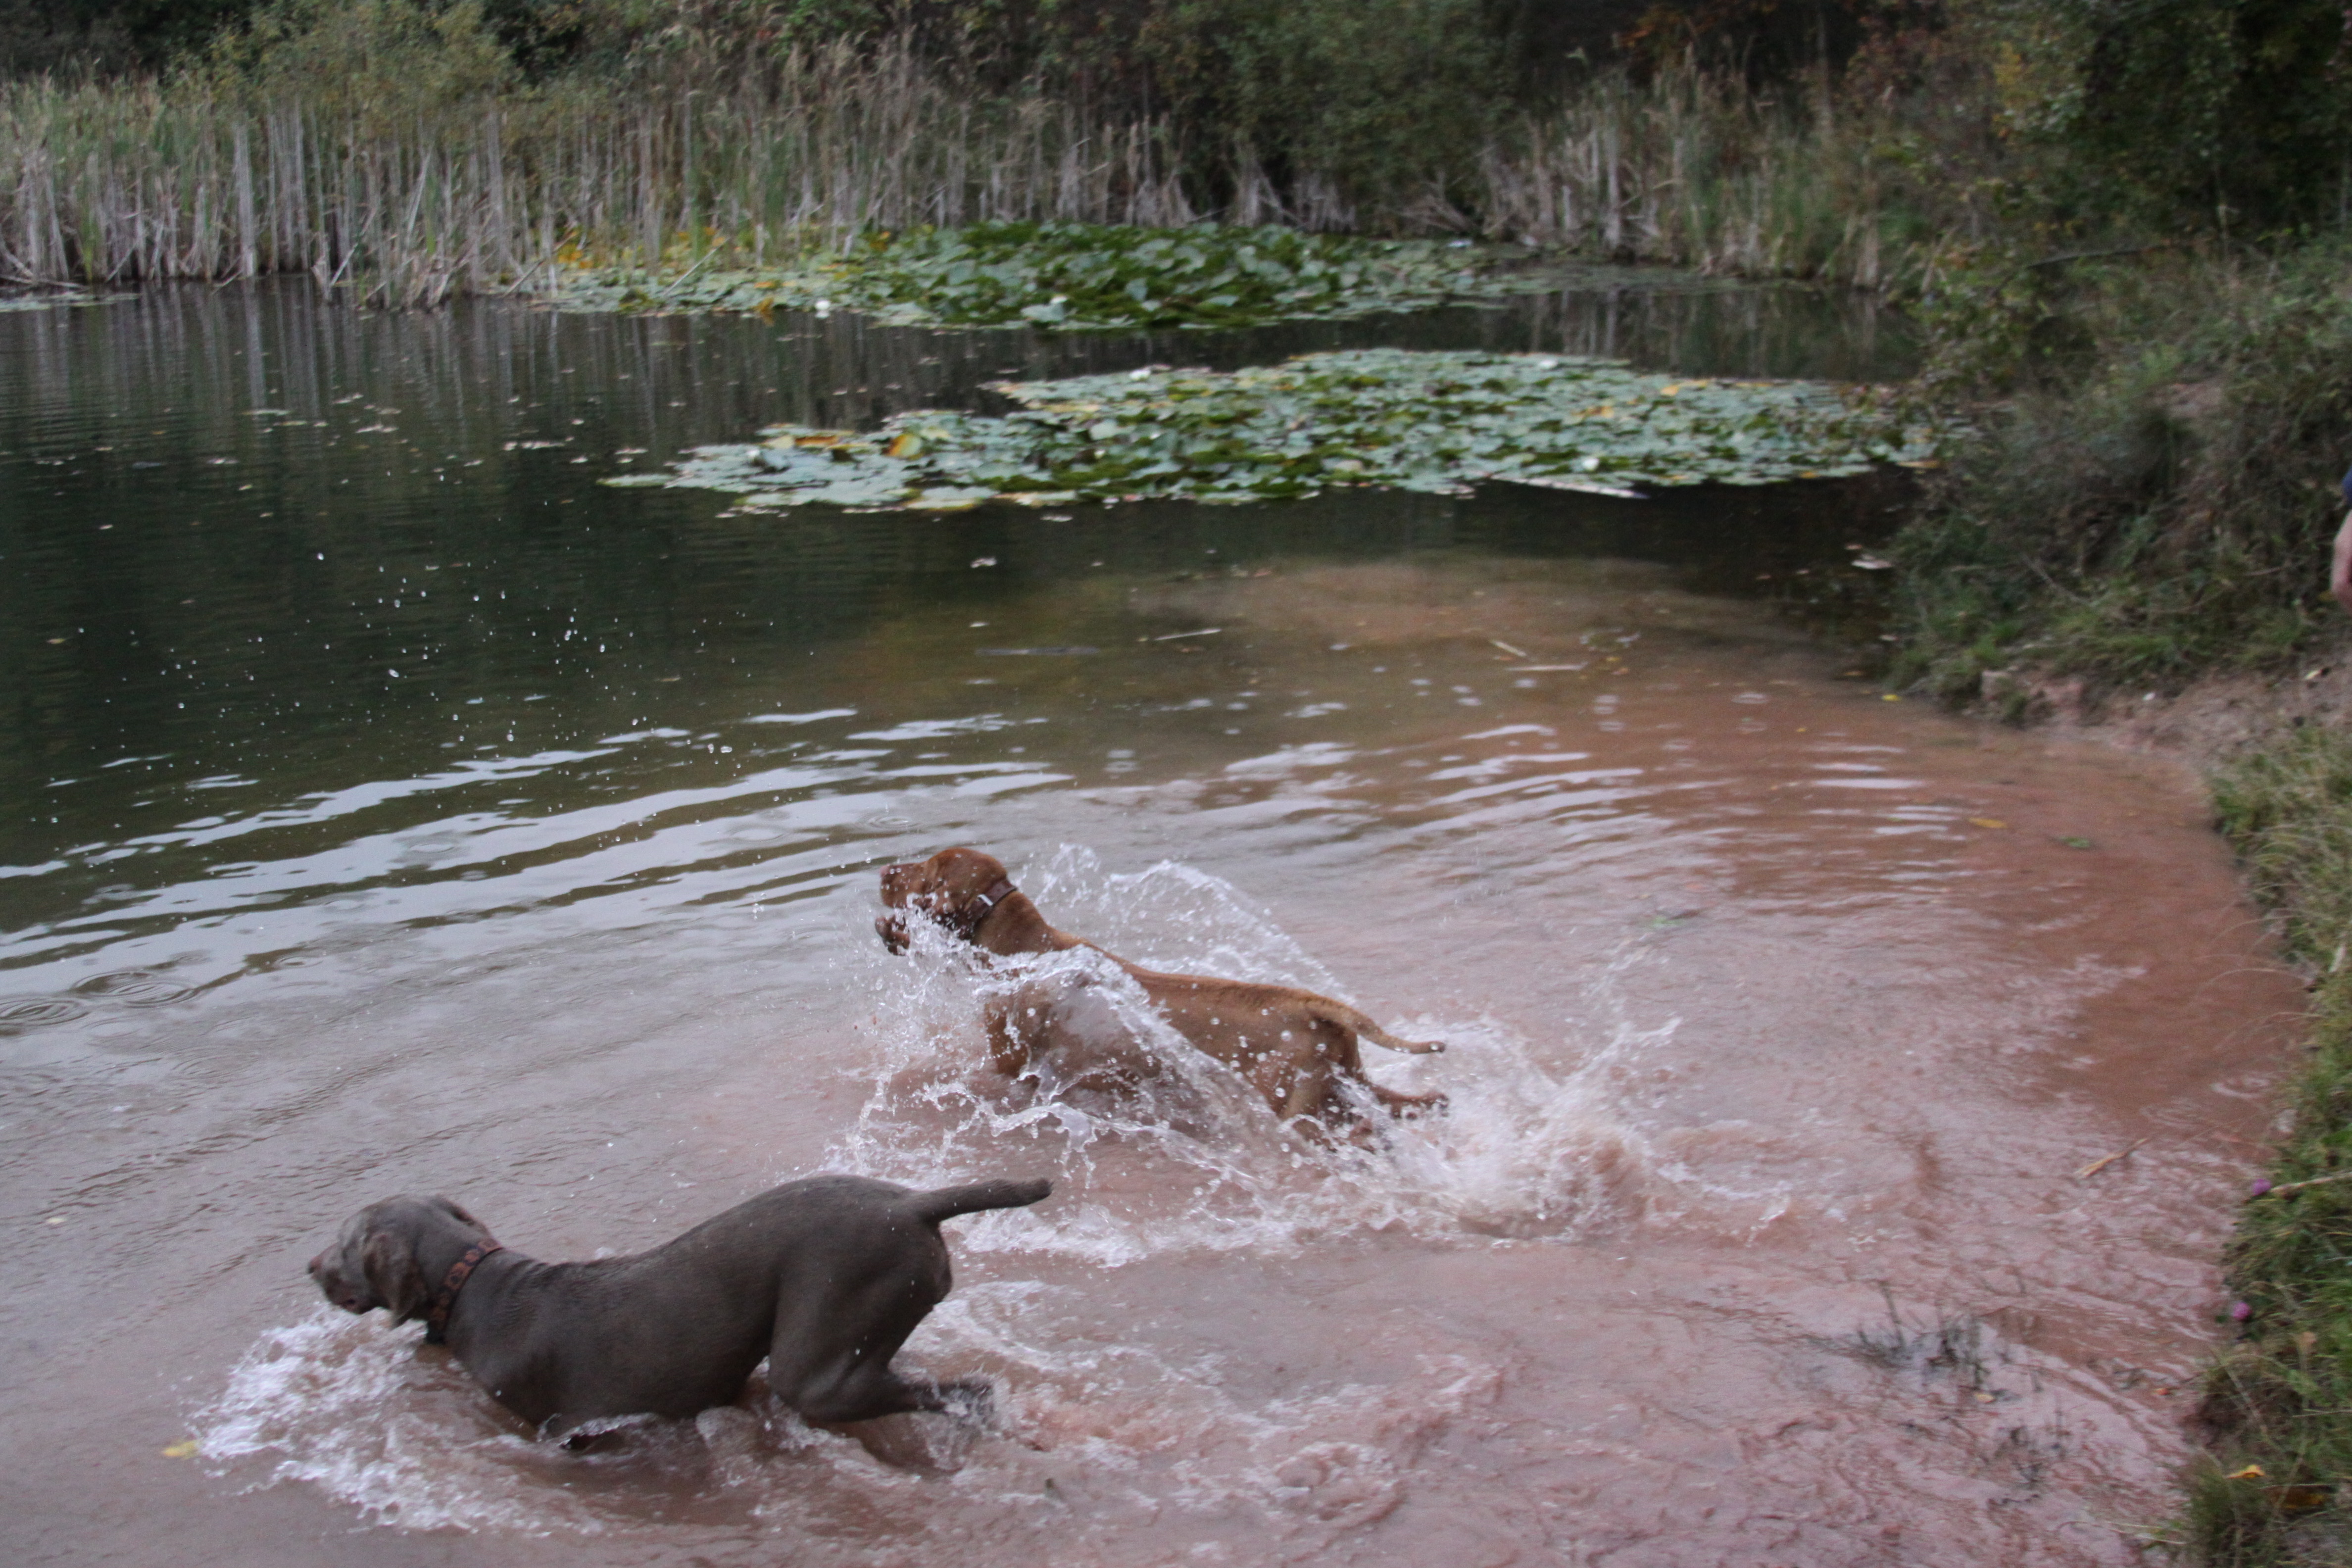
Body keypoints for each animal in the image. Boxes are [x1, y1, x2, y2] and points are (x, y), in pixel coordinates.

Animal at [310, 1175, 1049, 1448]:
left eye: (342, 1244)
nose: (309, 1269)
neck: (477, 1285)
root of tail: (913, 1203)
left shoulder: (560, 1427)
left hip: (816, 1362)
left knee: (957, 1391)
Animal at [875, 851, 1439, 1133]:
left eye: (924, 873)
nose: (883, 869)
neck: (1023, 946)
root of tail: (1318, 1009)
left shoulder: (1012, 1068)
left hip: (1294, 1107)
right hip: (1351, 1088)